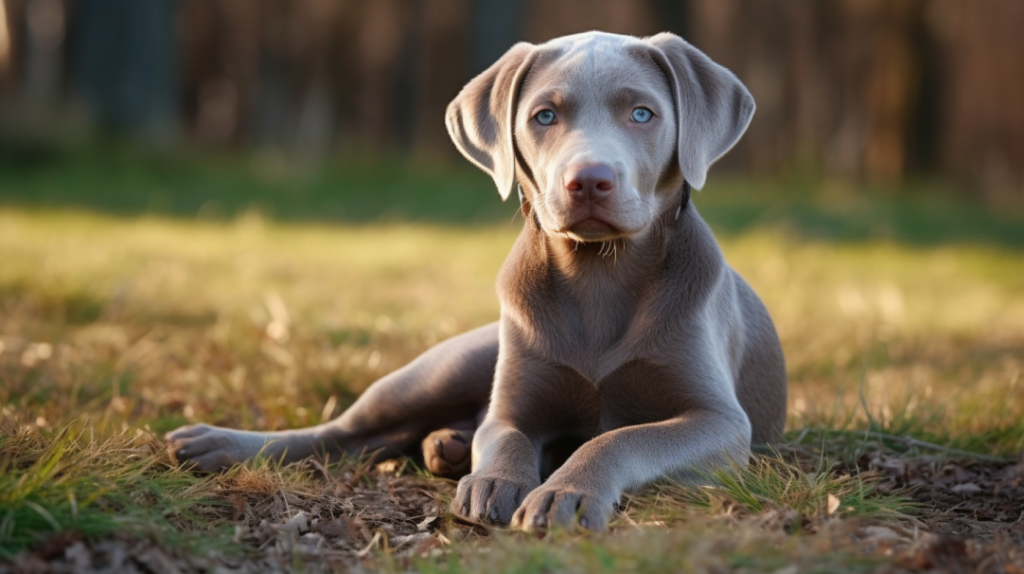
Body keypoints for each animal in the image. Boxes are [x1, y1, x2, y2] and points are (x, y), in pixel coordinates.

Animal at [169, 31, 790, 532]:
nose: (588, 180)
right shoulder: (511, 408)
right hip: (441, 368)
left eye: (642, 114)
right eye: (544, 116)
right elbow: (508, 435)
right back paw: (217, 443)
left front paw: (565, 490)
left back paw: (448, 447)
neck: (600, 272)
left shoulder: (720, 422)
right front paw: (497, 480)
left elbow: (620, 437)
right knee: (343, 431)